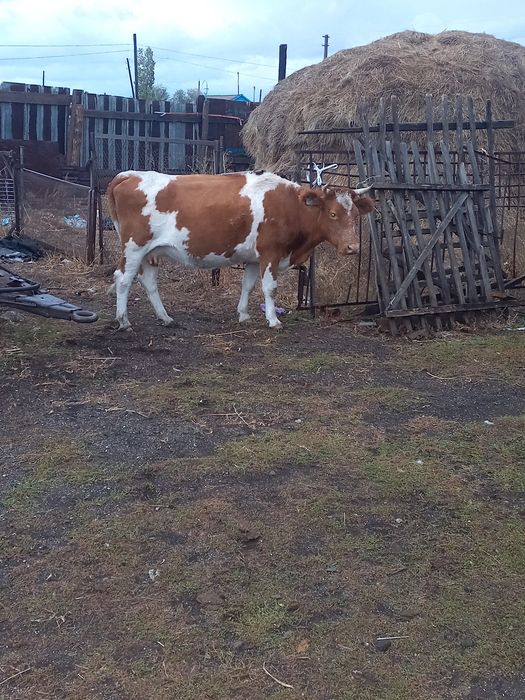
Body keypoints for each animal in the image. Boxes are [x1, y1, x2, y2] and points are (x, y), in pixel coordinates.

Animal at [107, 170, 374, 330]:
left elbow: (248, 285)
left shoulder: (254, 258)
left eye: (356, 215)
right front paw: (273, 320)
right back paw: (124, 320)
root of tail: (131, 175)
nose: (353, 247)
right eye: (333, 214)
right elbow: (270, 287)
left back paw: (164, 317)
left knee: (149, 282)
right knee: (123, 279)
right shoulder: (271, 253)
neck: (291, 206)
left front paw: (243, 314)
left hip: (149, 252)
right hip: (134, 247)